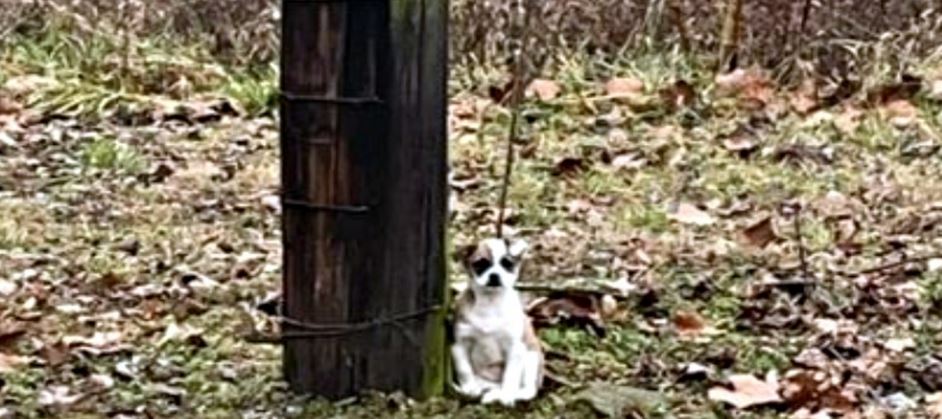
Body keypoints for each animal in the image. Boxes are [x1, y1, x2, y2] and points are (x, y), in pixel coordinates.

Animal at [452, 240, 544, 406]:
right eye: (480, 263)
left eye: (507, 263)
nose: (494, 275)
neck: (490, 303)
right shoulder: (459, 346)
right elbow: (464, 370)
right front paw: (469, 388)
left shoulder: (515, 348)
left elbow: (511, 375)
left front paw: (507, 396)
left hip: (531, 358)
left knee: (528, 391)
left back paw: (507, 394)